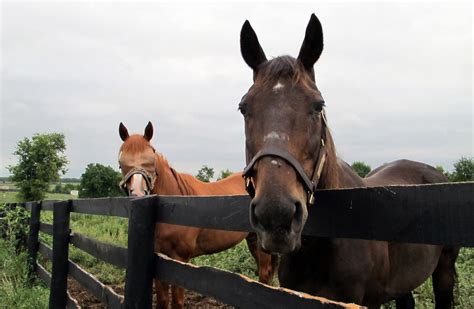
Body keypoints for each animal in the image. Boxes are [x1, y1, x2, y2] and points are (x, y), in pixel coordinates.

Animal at [116, 122, 276, 308]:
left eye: (151, 158)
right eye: (121, 163)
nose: (138, 194)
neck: (174, 206)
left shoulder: (180, 259)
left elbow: (177, 301)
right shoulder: (159, 258)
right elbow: (163, 300)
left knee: (264, 273)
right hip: (251, 239)